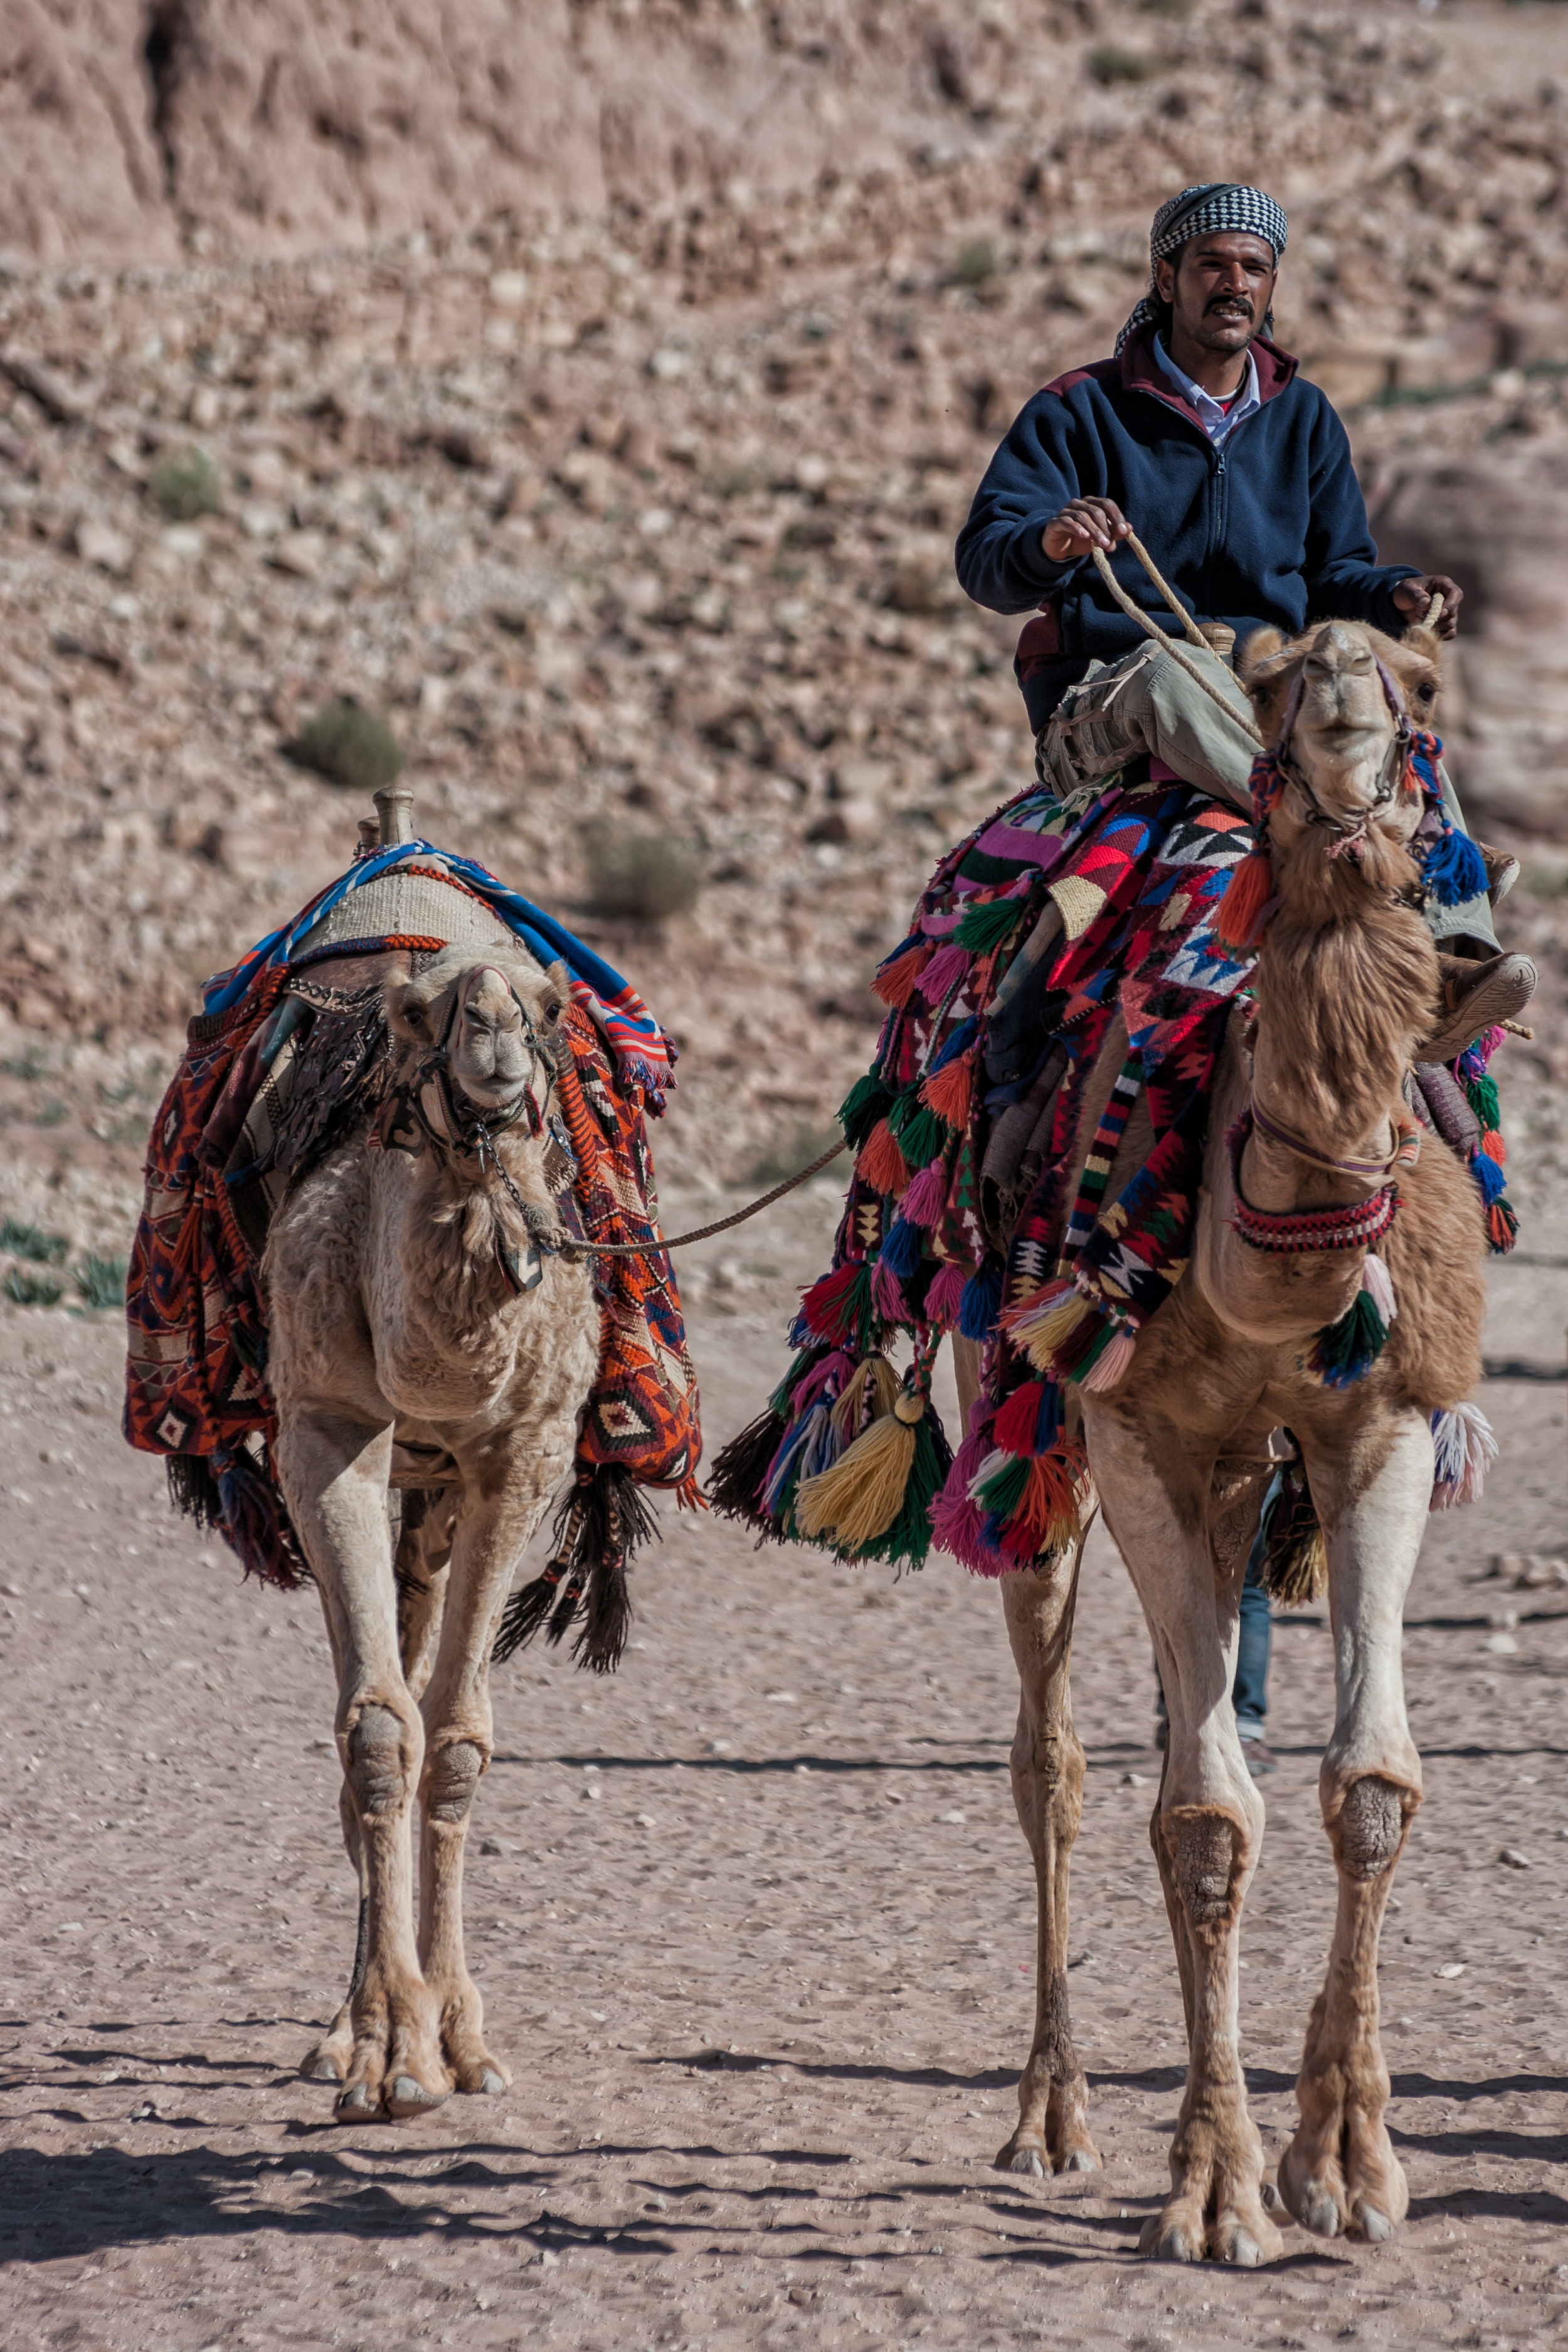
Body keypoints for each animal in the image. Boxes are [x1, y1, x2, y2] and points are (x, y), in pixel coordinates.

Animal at [719, 612, 1513, 2258]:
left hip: (1229, 1468)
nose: (1342, 687)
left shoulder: (1384, 1422)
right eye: (1271, 702)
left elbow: (1368, 1785)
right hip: (1023, 1405)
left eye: (1417, 693)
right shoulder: (1132, 1424)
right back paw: (1054, 2114)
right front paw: (1215, 2187)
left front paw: (1346, 2160)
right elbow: (1203, 1814)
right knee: (1060, 1755)